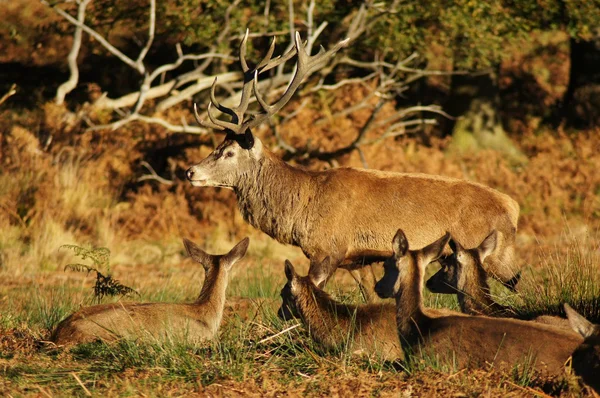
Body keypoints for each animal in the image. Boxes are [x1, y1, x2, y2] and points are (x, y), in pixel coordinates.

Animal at [186, 31, 520, 296]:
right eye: (217, 146)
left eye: (229, 153)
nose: (190, 171)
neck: (301, 207)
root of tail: (513, 207)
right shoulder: (358, 260)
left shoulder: (327, 249)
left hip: (494, 253)